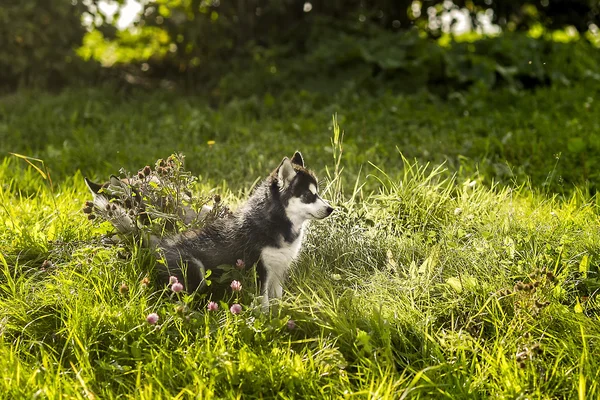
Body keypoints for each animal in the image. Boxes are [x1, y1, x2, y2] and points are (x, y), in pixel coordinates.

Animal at [85, 152, 332, 308]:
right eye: (308, 195)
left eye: (317, 193)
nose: (331, 208)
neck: (278, 223)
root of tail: (158, 246)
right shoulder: (260, 270)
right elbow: (263, 304)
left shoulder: (279, 270)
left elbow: (277, 300)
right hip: (196, 272)